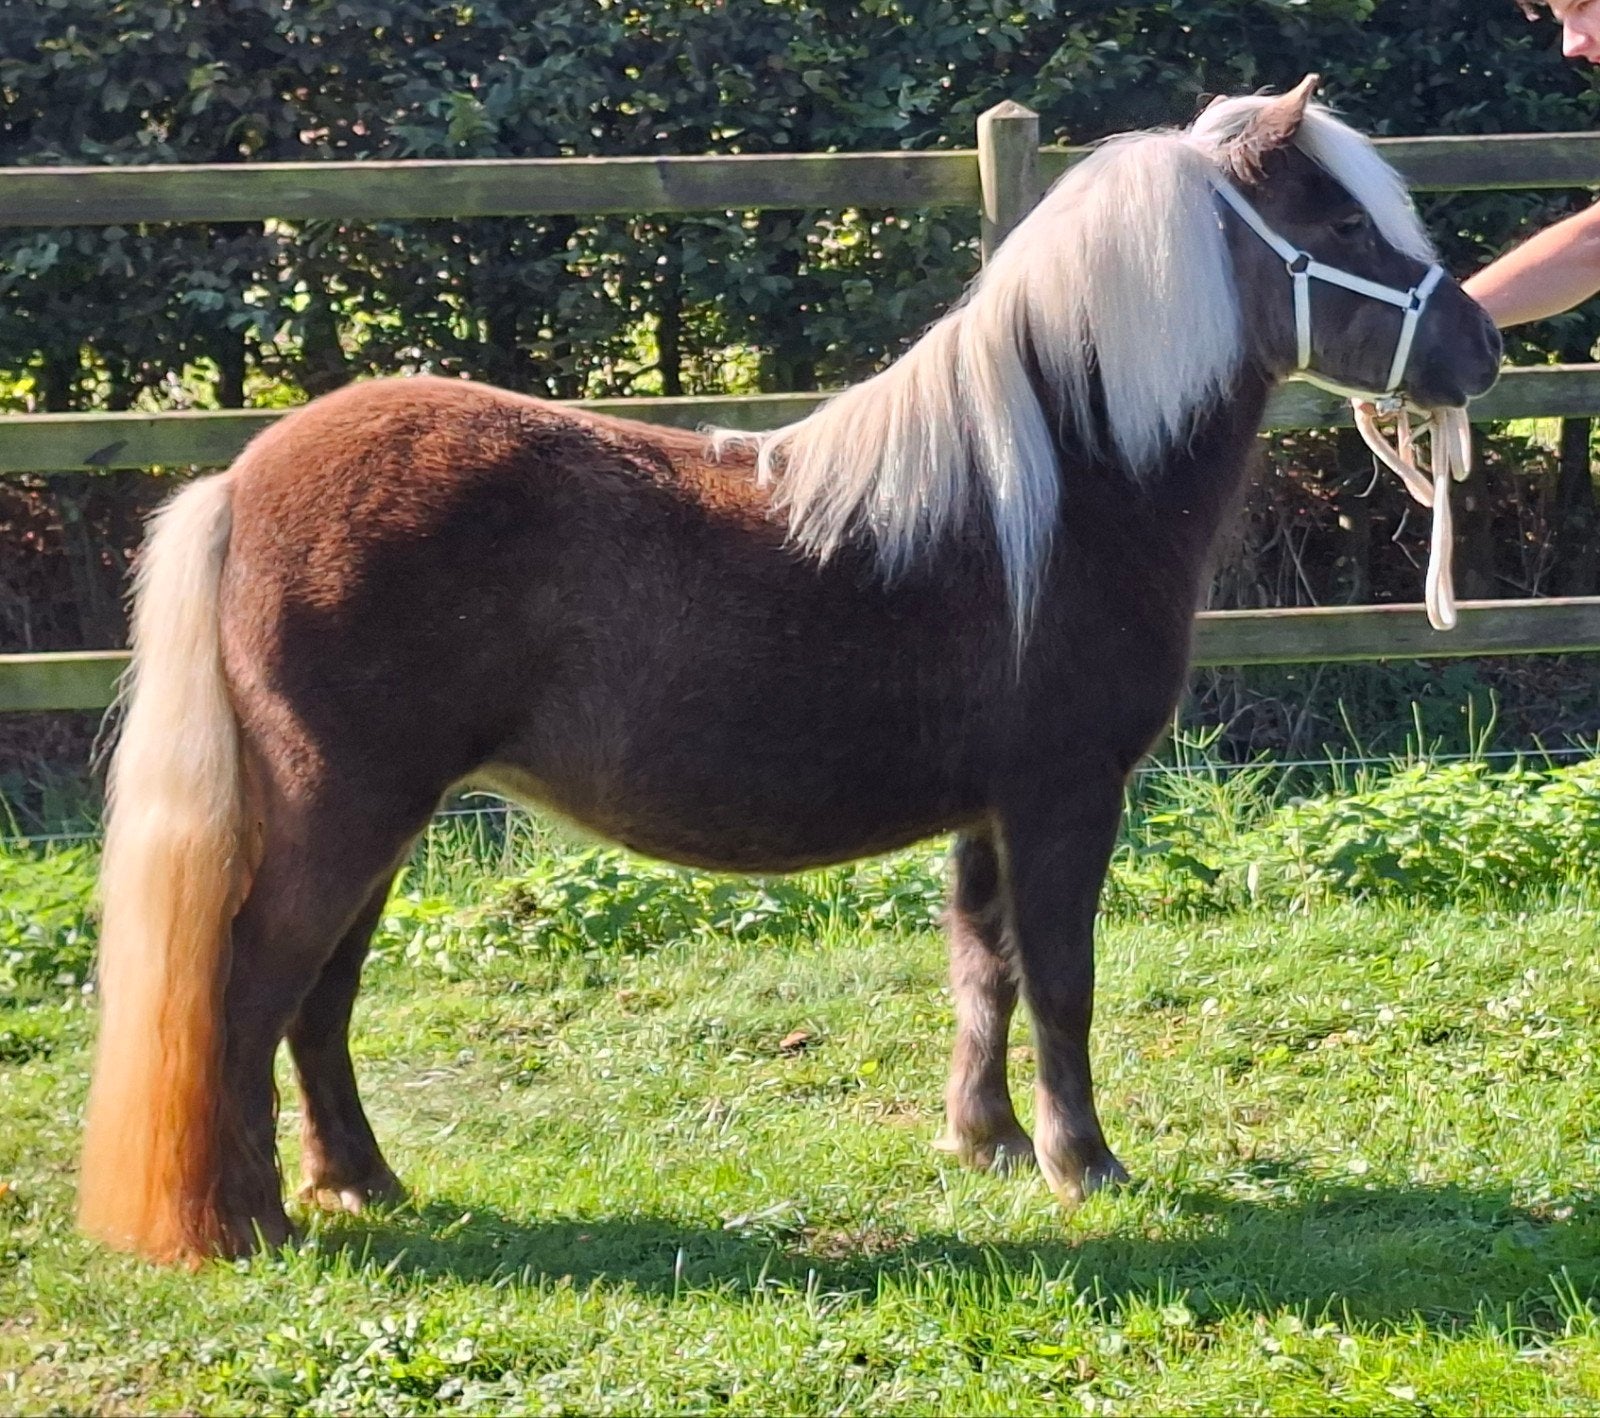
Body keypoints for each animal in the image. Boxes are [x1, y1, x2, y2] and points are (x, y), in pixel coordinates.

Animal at [78, 76, 1501, 1264]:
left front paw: (983, 1140)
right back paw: (244, 1220)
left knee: (318, 999)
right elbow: (1061, 975)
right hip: (347, 807)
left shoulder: (989, 809)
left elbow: (982, 967)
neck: (1065, 481)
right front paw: (1083, 1162)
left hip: (378, 817)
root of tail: (242, 480)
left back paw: (356, 1181)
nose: (1482, 346)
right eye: (1345, 222)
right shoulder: (1063, 795)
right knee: (249, 985)